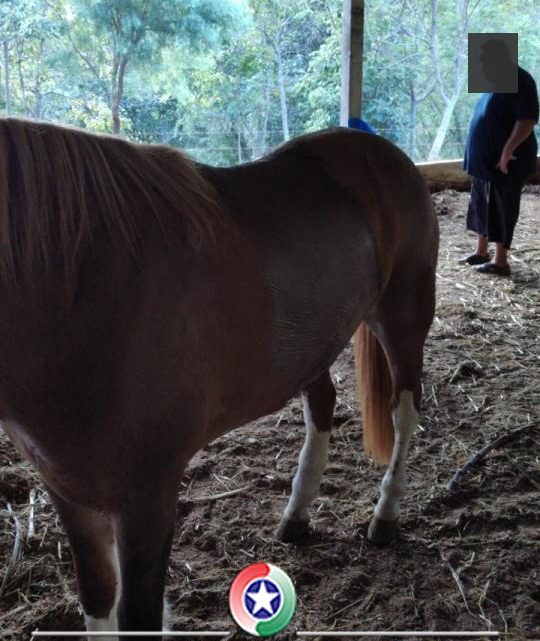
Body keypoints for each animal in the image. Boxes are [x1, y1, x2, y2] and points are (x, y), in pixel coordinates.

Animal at [0, 119, 438, 636]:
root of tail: (382, 151)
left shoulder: (147, 500)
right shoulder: (68, 494)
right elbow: (97, 600)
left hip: (403, 318)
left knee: (404, 411)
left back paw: (385, 516)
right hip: (315, 344)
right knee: (323, 404)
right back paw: (297, 514)